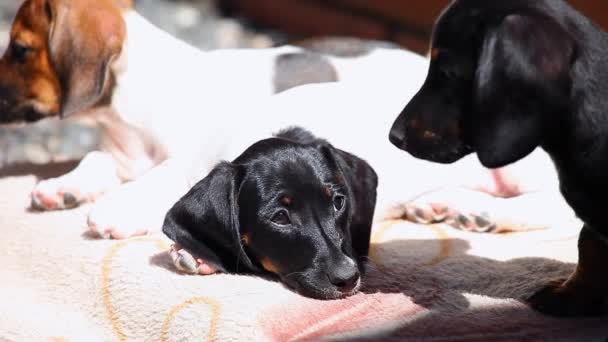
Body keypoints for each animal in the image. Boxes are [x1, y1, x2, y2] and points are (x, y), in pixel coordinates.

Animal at [0, 0, 576, 239]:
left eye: (20, 48)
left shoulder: (179, 158)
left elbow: (159, 180)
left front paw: (116, 212)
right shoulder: (123, 152)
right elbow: (96, 160)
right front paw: (64, 188)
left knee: (554, 208)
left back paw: (480, 211)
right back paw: (443, 204)